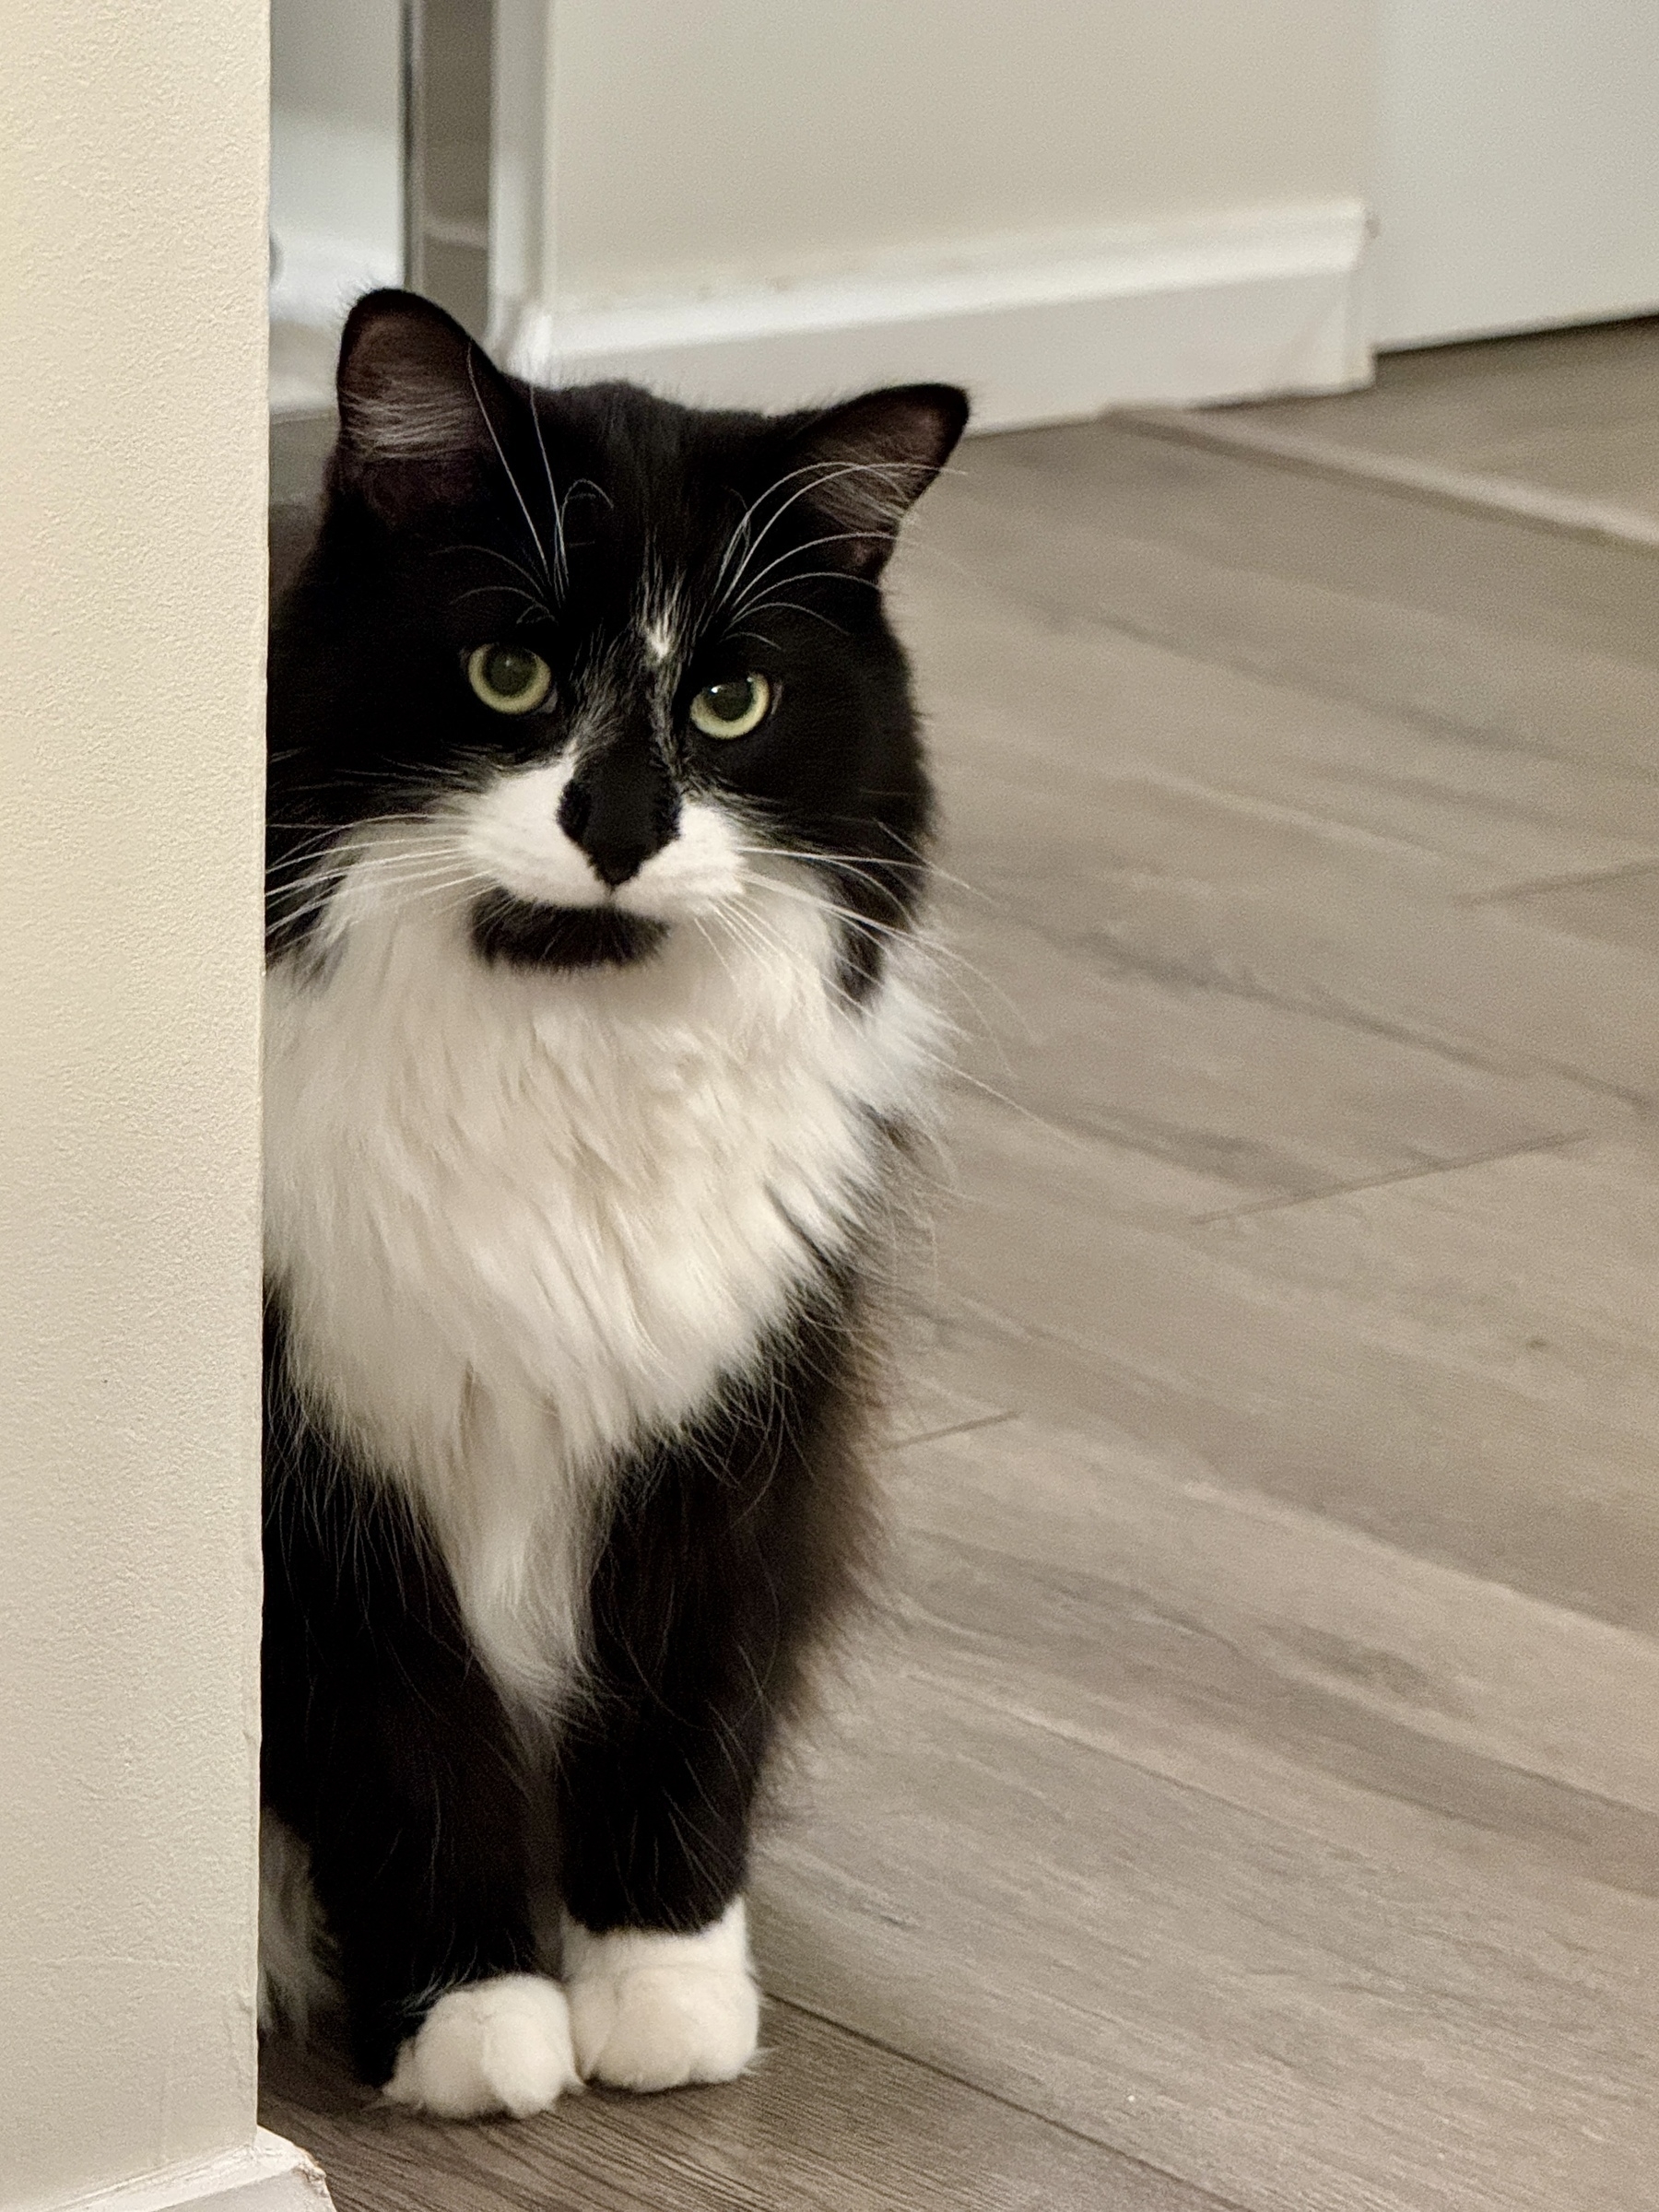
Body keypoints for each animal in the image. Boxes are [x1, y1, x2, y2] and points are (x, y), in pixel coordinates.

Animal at [260, 285, 973, 2114]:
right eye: (510, 671)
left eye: (728, 704)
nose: (623, 829)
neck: (560, 1055)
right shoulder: (329, 1482)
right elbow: (412, 1754)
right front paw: (476, 2022)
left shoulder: (729, 1438)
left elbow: (679, 1723)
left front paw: (663, 1998)